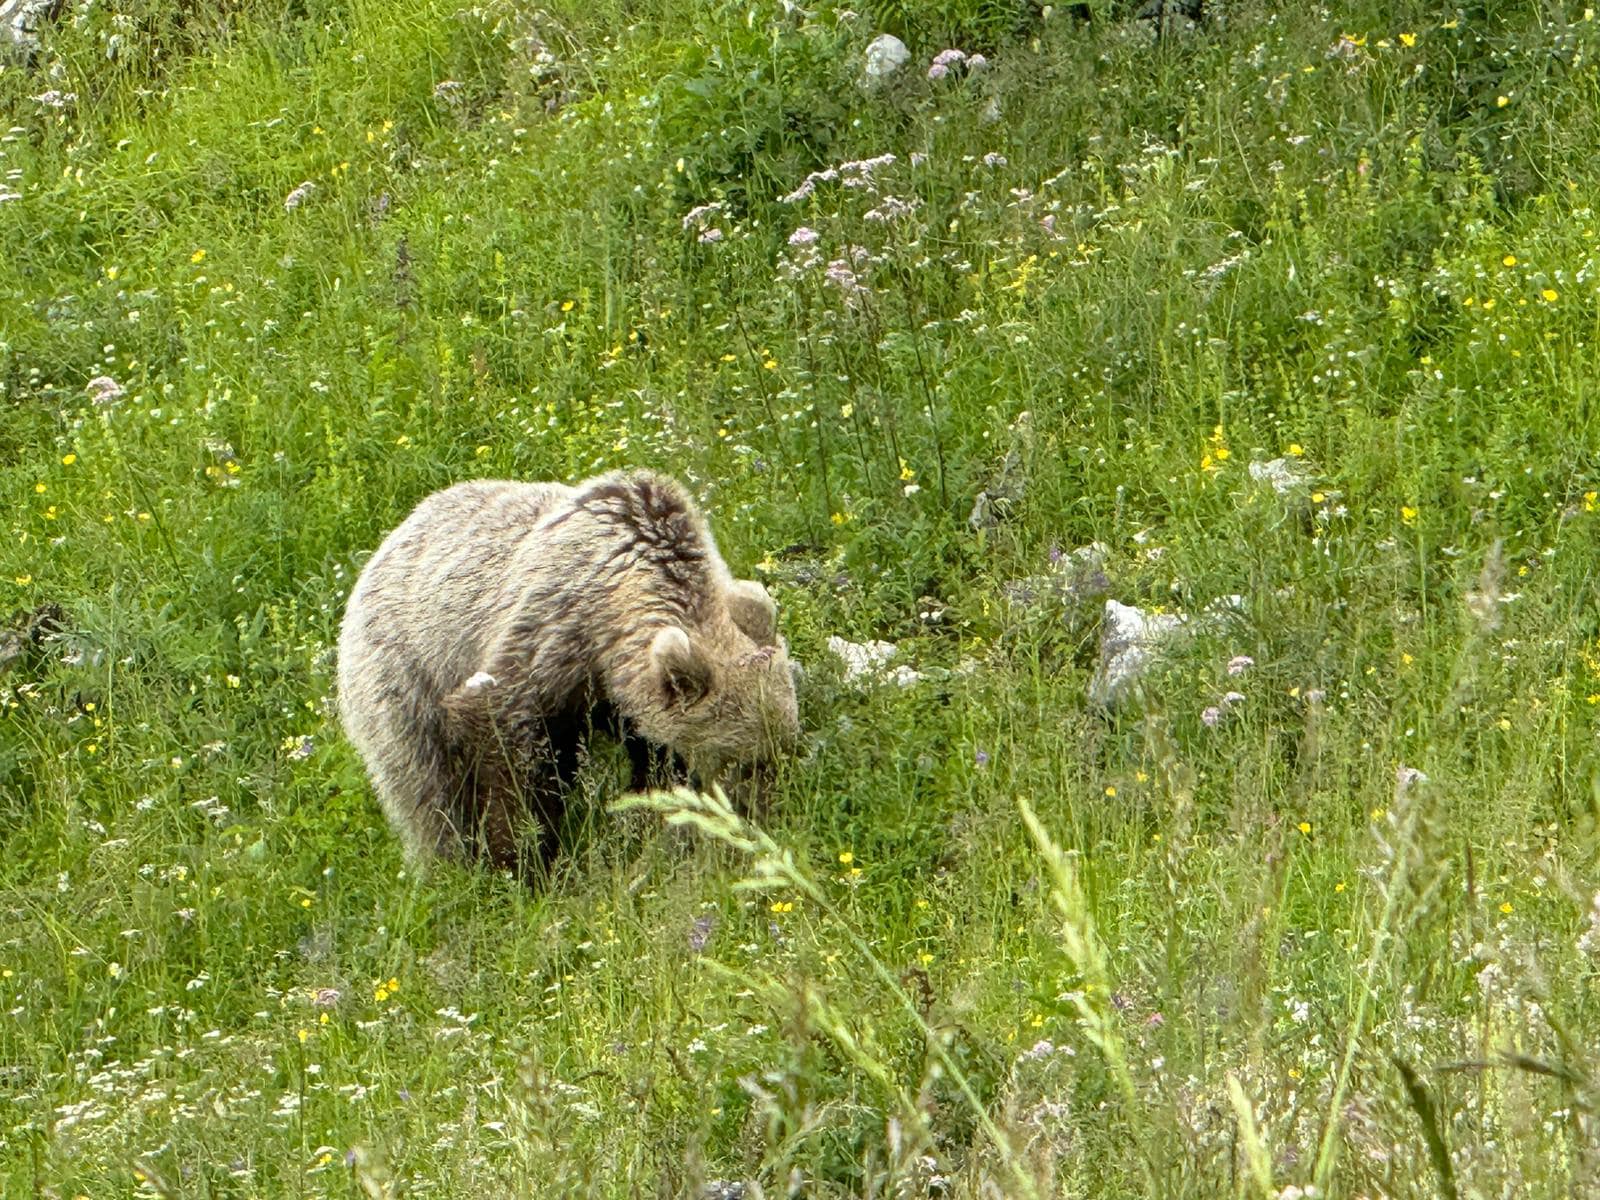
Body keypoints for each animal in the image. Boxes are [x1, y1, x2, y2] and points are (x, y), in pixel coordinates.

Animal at [335, 469, 801, 877]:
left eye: (781, 748)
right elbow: (504, 743)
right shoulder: (551, 631)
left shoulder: (616, 691)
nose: (767, 814)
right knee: (425, 789)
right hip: (401, 674)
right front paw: (521, 860)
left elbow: (652, 760)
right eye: (743, 758)